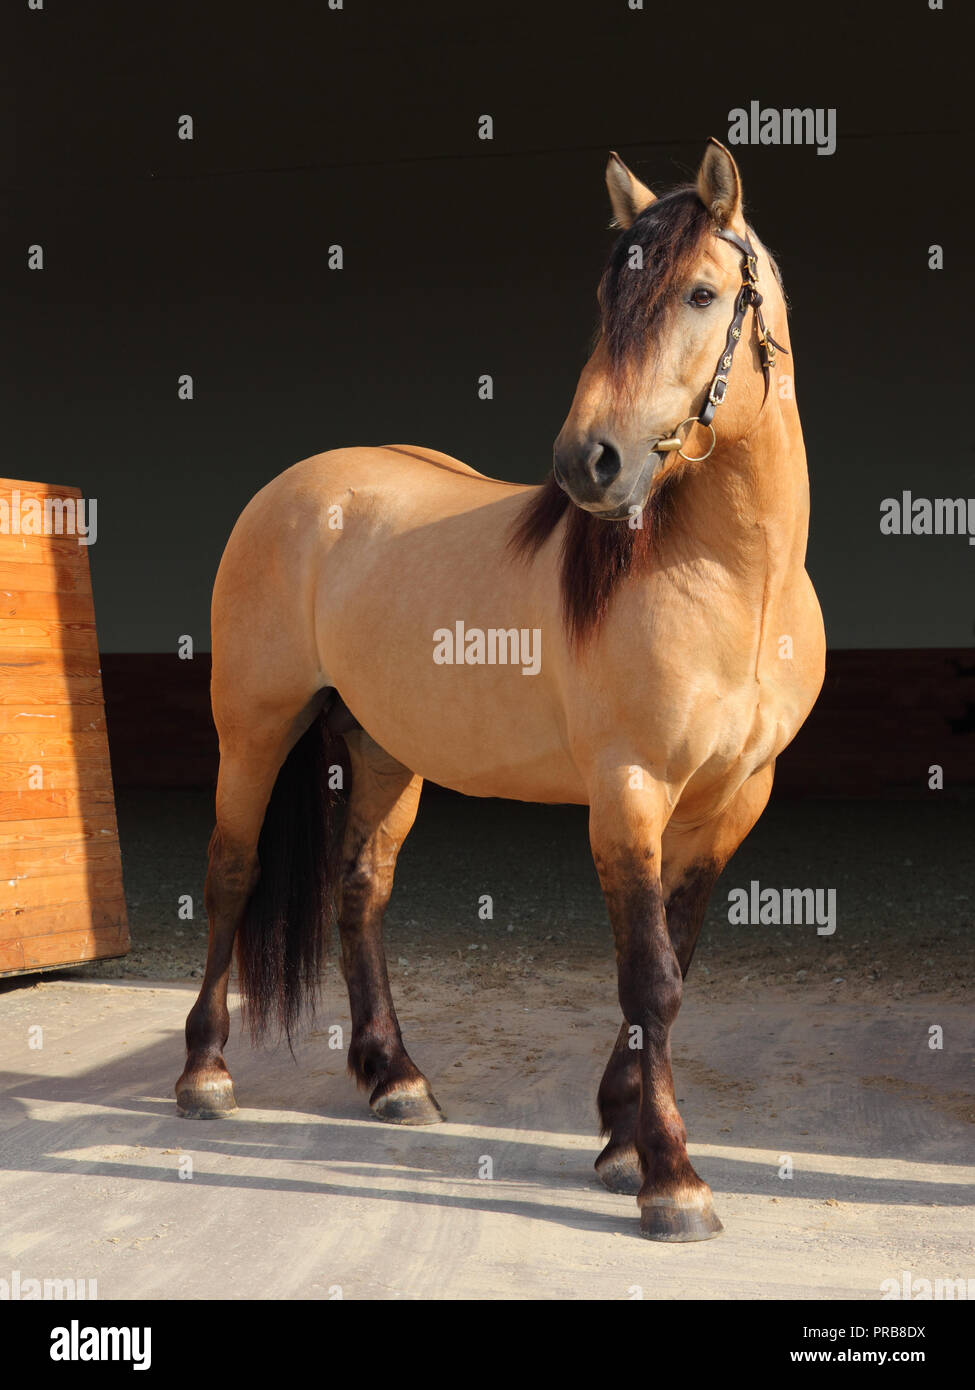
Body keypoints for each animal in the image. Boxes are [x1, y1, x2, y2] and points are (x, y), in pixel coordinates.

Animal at [173, 141, 823, 1245]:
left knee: (360, 890)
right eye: (607, 293)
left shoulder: (732, 802)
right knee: (231, 872)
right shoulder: (629, 792)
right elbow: (650, 979)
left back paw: (395, 1078)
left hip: (386, 751)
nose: (588, 463)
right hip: (253, 725)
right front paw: (671, 1180)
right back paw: (205, 1074)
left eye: (701, 292)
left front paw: (617, 1138)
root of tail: (299, 487)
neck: (736, 583)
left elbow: (673, 967)